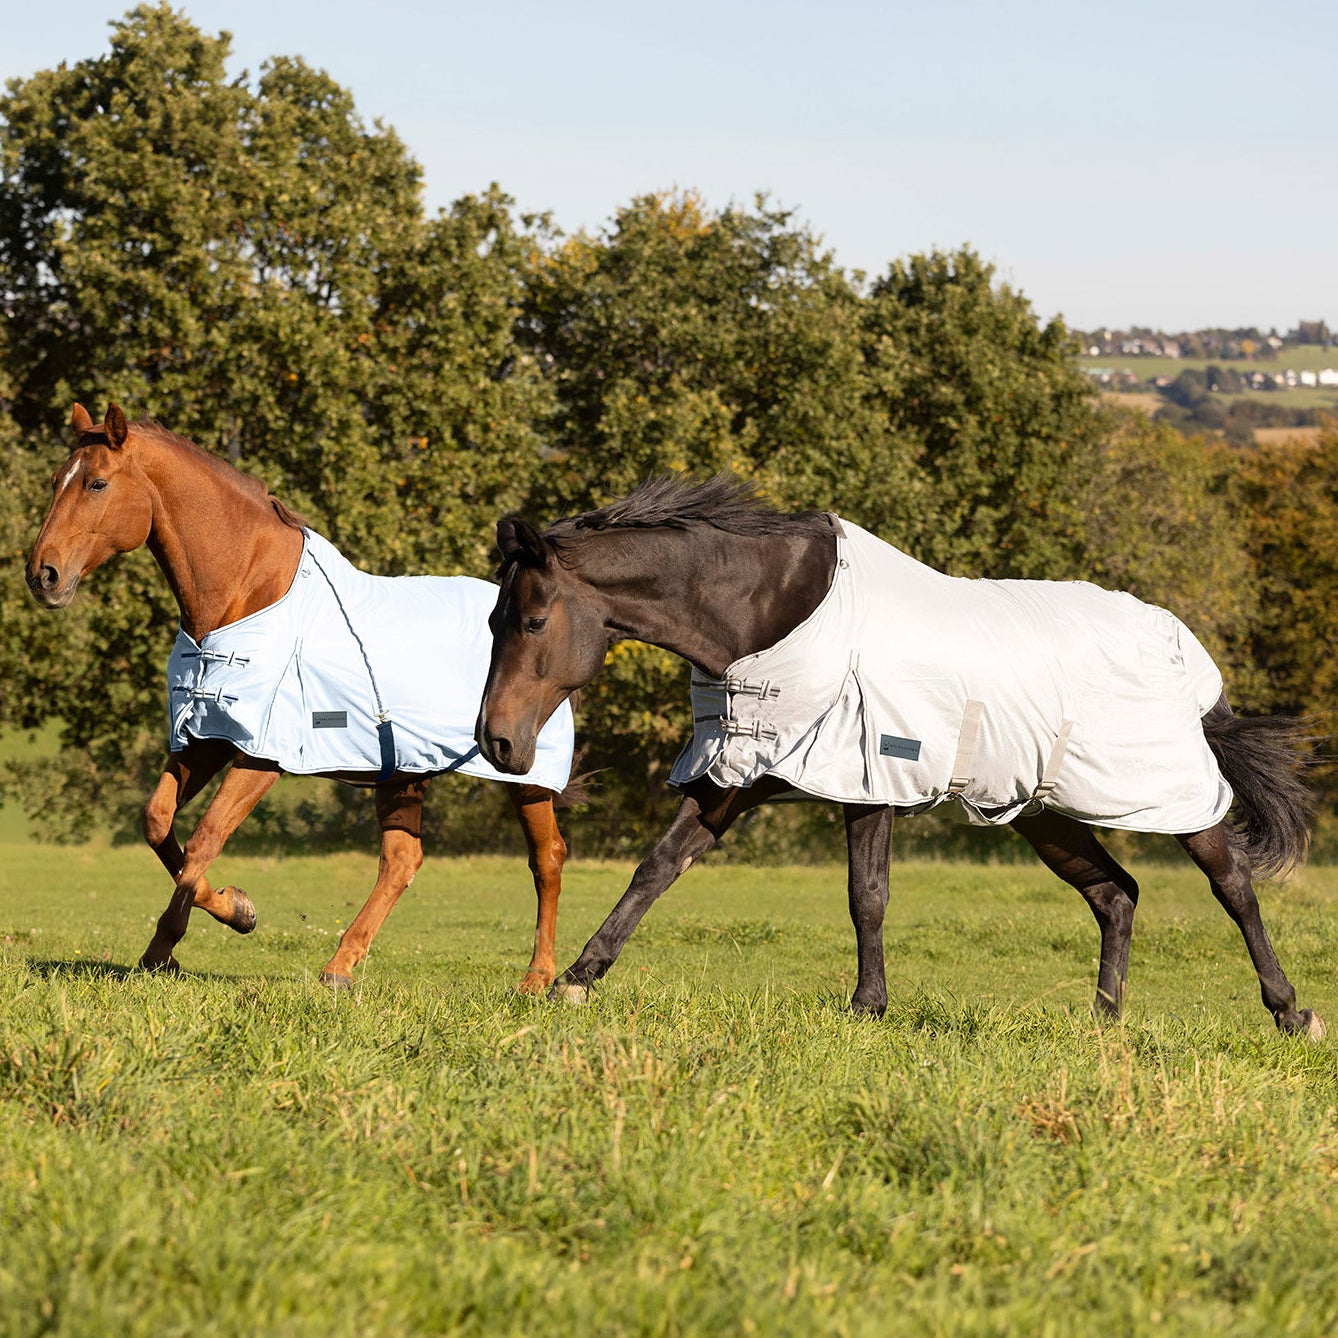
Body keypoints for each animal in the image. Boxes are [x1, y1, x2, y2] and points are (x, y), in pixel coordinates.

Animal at [25, 403, 575, 992]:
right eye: (54, 480)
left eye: (98, 483)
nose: (42, 575)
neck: (247, 595)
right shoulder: (208, 738)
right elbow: (158, 822)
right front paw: (234, 910)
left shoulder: (261, 755)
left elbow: (206, 838)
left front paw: (171, 944)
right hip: (402, 772)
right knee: (402, 860)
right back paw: (340, 967)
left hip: (523, 773)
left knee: (548, 858)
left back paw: (538, 978)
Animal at [475, 474, 1325, 1038]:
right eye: (492, 619)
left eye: (532, 620)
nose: (497, 741)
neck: (774, 612)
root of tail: (1189, 660)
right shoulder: (741, 775)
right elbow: (657, 867)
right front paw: (577, 981)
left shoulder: (870, 776)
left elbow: (868, 896)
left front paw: (867, 1007)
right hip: (1042, 813)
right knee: (1115, 893)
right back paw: (1104, 1021)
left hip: (1174, 799)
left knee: (1233, 887)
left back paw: (1291, 1012)